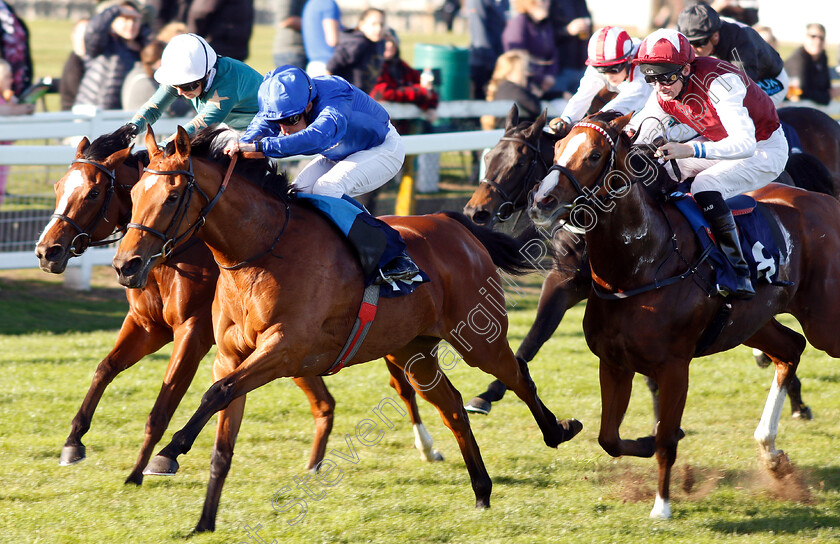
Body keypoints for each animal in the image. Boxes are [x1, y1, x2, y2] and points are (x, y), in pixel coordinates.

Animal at [32, 129, 442, 488]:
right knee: (328, 402)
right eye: (58, 187)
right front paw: (73, 443)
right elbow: (105, 368)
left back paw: (428, 447)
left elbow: (163, 404)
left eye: (93, 192)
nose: (47, 251)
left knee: (404, 386)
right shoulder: (148, 326)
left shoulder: (193, 333)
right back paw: (317, 464)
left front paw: (141, 470)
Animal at [108, 124, 580, 532]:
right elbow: (222, 441)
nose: (125, 264)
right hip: (414, 353)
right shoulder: (230, 356)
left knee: (518, 376)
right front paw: (203, 522)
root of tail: (457, 226)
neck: (261, 252)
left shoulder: (284, 350)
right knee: (453, 408)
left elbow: (214, 393)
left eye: (172, 196)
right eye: (134, 191)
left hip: (480, 339)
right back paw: (481, 490)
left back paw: (557, 431)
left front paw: (167, 454)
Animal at [528, 109, 840, 520]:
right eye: (558, 147)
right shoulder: (613, 362)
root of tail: (825, 202)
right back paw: (771, 453)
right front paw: (649, 442)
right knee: (790, 348)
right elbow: (610, 437)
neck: (640, 268)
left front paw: (662, 506)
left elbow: (664, 441)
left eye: (595, 155)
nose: (541, 200)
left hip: (824, 320)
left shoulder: (675, 367)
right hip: (753, 322)